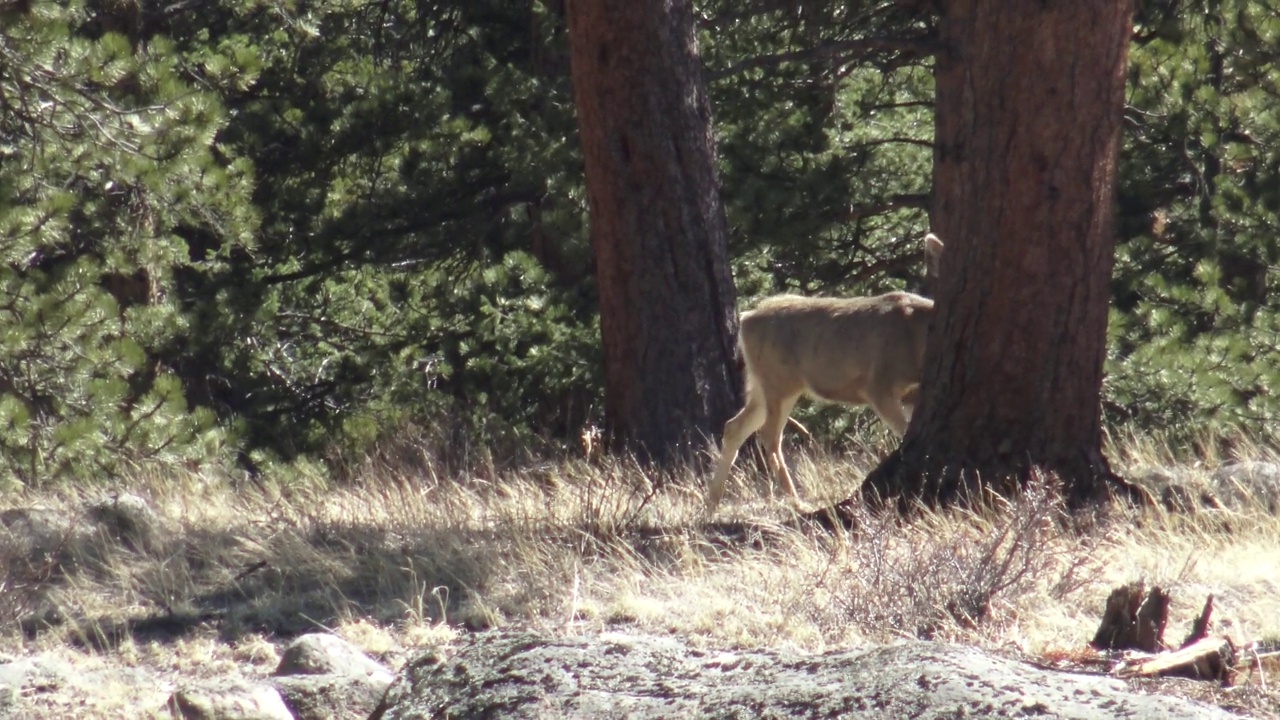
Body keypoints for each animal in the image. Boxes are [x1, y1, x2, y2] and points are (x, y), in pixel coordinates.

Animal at [706, 233, 947, 512]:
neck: (919, 338)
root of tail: (746, 317)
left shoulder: (911, 396)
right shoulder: (880, 383)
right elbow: (905, 432)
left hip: (760, 382)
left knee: (735, 426)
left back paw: (712, 502)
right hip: (780, 380)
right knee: (769, 436)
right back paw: (795, 500)